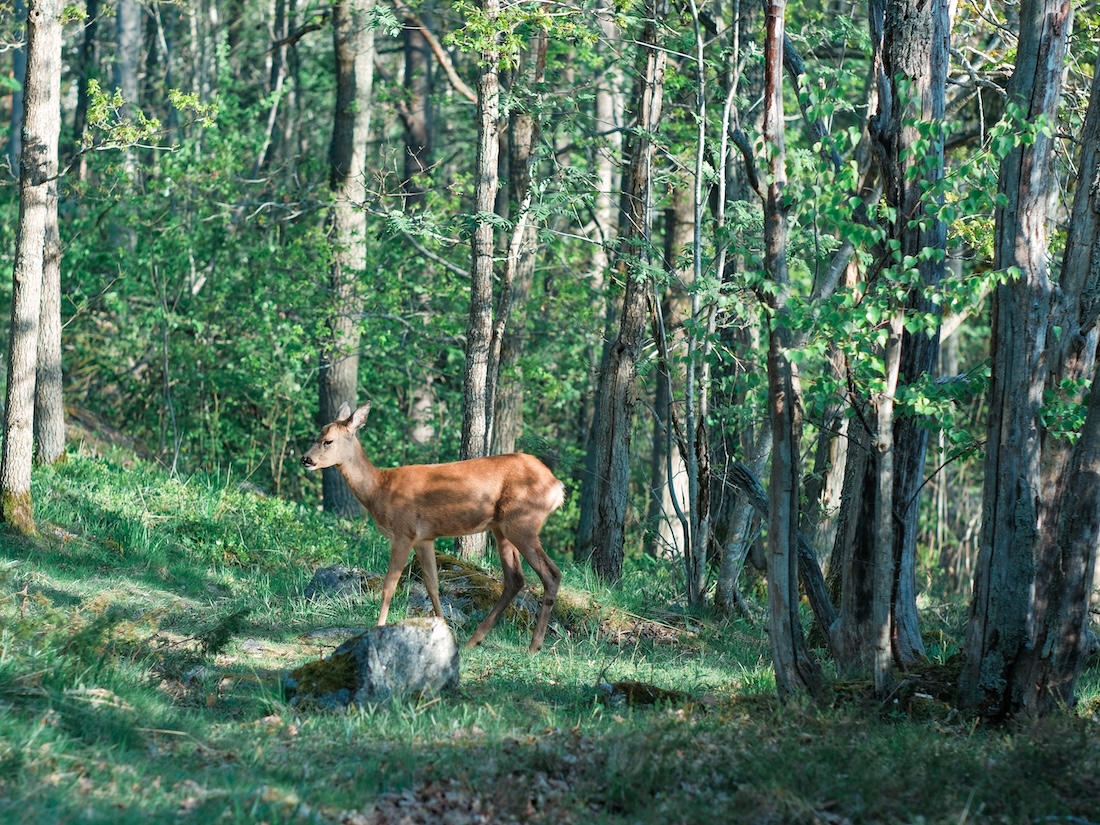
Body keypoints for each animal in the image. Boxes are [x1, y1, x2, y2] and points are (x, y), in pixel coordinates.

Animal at [301, 402, 565, 653]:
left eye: (328, 441)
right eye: (316, 436)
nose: (305, 459)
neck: (379, 489)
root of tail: (557, 486)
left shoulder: (403, 532)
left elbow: (389, 586)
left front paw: (378, 627)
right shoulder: (424, 539)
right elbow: (433, 585)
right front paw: (443, 629)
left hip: (522, 522)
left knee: (551, 574)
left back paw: (534, 645)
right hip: (502, 529)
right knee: (515, 579)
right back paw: (475, 640)